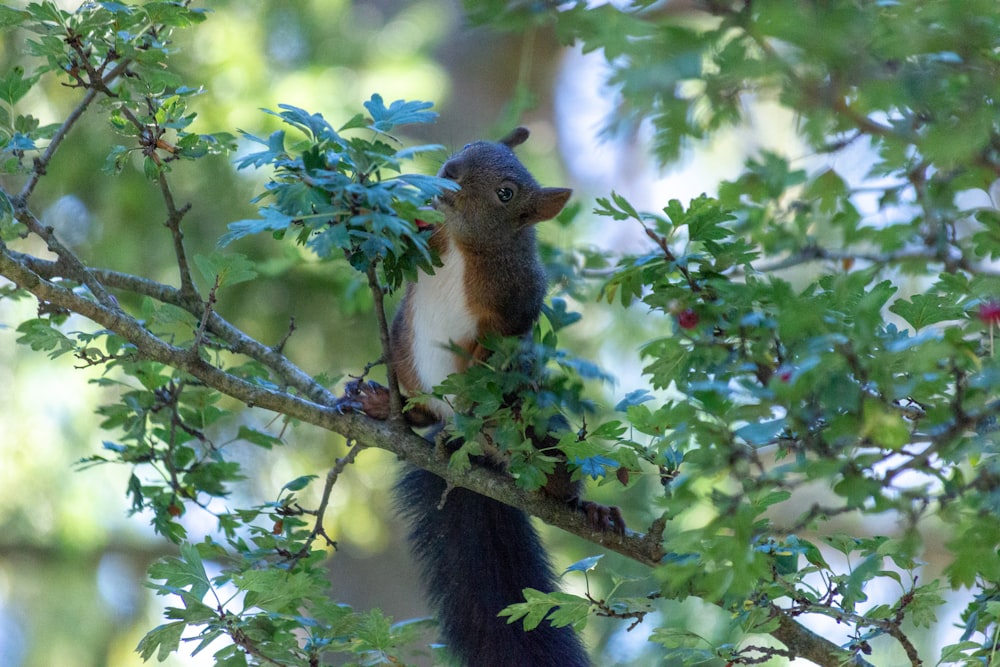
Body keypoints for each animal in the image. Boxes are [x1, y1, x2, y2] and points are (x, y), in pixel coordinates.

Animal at [344, 128, 624, 664]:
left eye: (506, 194)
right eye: (470, 148)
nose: (449, 172)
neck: (459, 241)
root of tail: (472, 451)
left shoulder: (516, 298)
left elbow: (501, 341)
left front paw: (474, 370)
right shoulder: (426, 231)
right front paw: (359, 203)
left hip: (539, 434)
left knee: (557, 479)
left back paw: (591, 508)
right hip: (407, 368)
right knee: (419, 412)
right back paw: (385, 406)